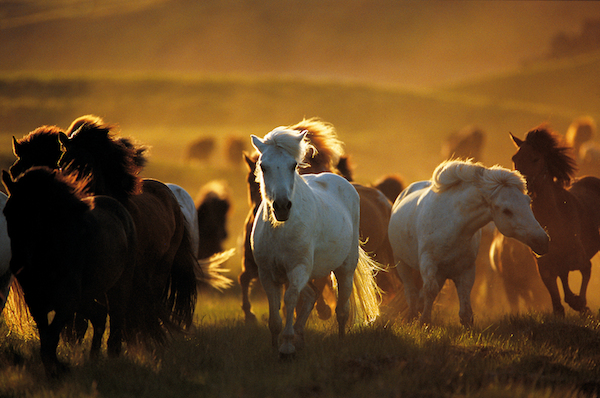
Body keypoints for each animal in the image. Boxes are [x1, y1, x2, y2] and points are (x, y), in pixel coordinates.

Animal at [1, 167, 137, 376]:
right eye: (7, 212)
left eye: (37, 213)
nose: (17, 263)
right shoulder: (36, 302)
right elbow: (46, 340)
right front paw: (56, 369)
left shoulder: (67, 301)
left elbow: (51, 338)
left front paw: (58, 370)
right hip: (86, 297)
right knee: (99, 315)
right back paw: (92, 359)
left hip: (118, 287)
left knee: (114, 323)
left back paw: (111, 360)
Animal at [248, 128, 380, 358]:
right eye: (263, 166)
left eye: (293, 165)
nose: (282, 206)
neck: (280, 230)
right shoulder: (267, 274)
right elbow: (275, 314)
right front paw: (276, 345)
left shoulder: (298, 269)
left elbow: (290, 299)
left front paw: (286, 347)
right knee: (311, 296)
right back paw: (300, 337)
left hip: (345, 268)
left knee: (341, 310)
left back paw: (340, 341)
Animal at [390, 159, 548, 326]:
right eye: (506, 210)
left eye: (528, 201)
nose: (543, 240)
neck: (454, 225)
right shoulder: (428, 263)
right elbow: (430, 290)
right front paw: (424, 321)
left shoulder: (466, 268)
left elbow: (464, 299)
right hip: (401, 263)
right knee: (411, 291)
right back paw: (412, 314)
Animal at [508, 126, 600, 316]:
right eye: (515, 158)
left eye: (535, 158)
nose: (520, 186)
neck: (555, 219)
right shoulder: (544, 266)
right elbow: (557, 302)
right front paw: (573, 303)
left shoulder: (581, 259)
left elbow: (585, 272)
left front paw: (582, 305)